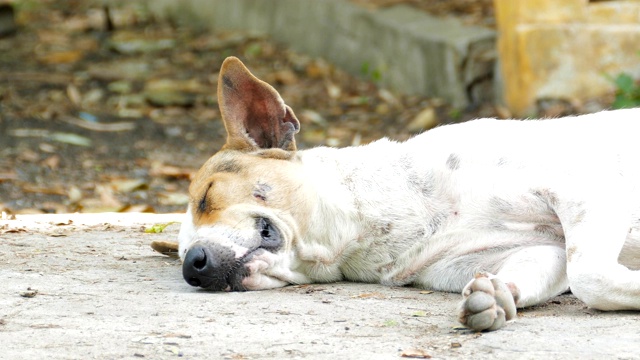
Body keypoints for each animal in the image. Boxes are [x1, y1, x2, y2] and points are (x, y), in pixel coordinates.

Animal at [152, 56, 636, 332]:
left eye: (207, 195)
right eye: (181, 256)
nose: (193, 267)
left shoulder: (586, 190)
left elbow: (590, 278)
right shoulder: (539, 251)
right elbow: (553, 272)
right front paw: (496, 296)